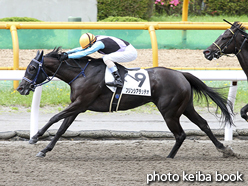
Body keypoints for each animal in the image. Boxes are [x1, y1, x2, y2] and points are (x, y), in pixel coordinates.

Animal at [17, 47, 234, 158]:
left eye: (31, 68)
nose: (20, 88)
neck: (81, 73)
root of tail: (181, 74)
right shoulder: (78, 107)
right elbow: (62, 128)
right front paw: (44, 150)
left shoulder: (79, 104)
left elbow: (54, 118)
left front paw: (35, 137)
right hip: (185, 107)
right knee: (203, 124)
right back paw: (224, 149)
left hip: (170, 112)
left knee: (181, 134)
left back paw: (169, 157)